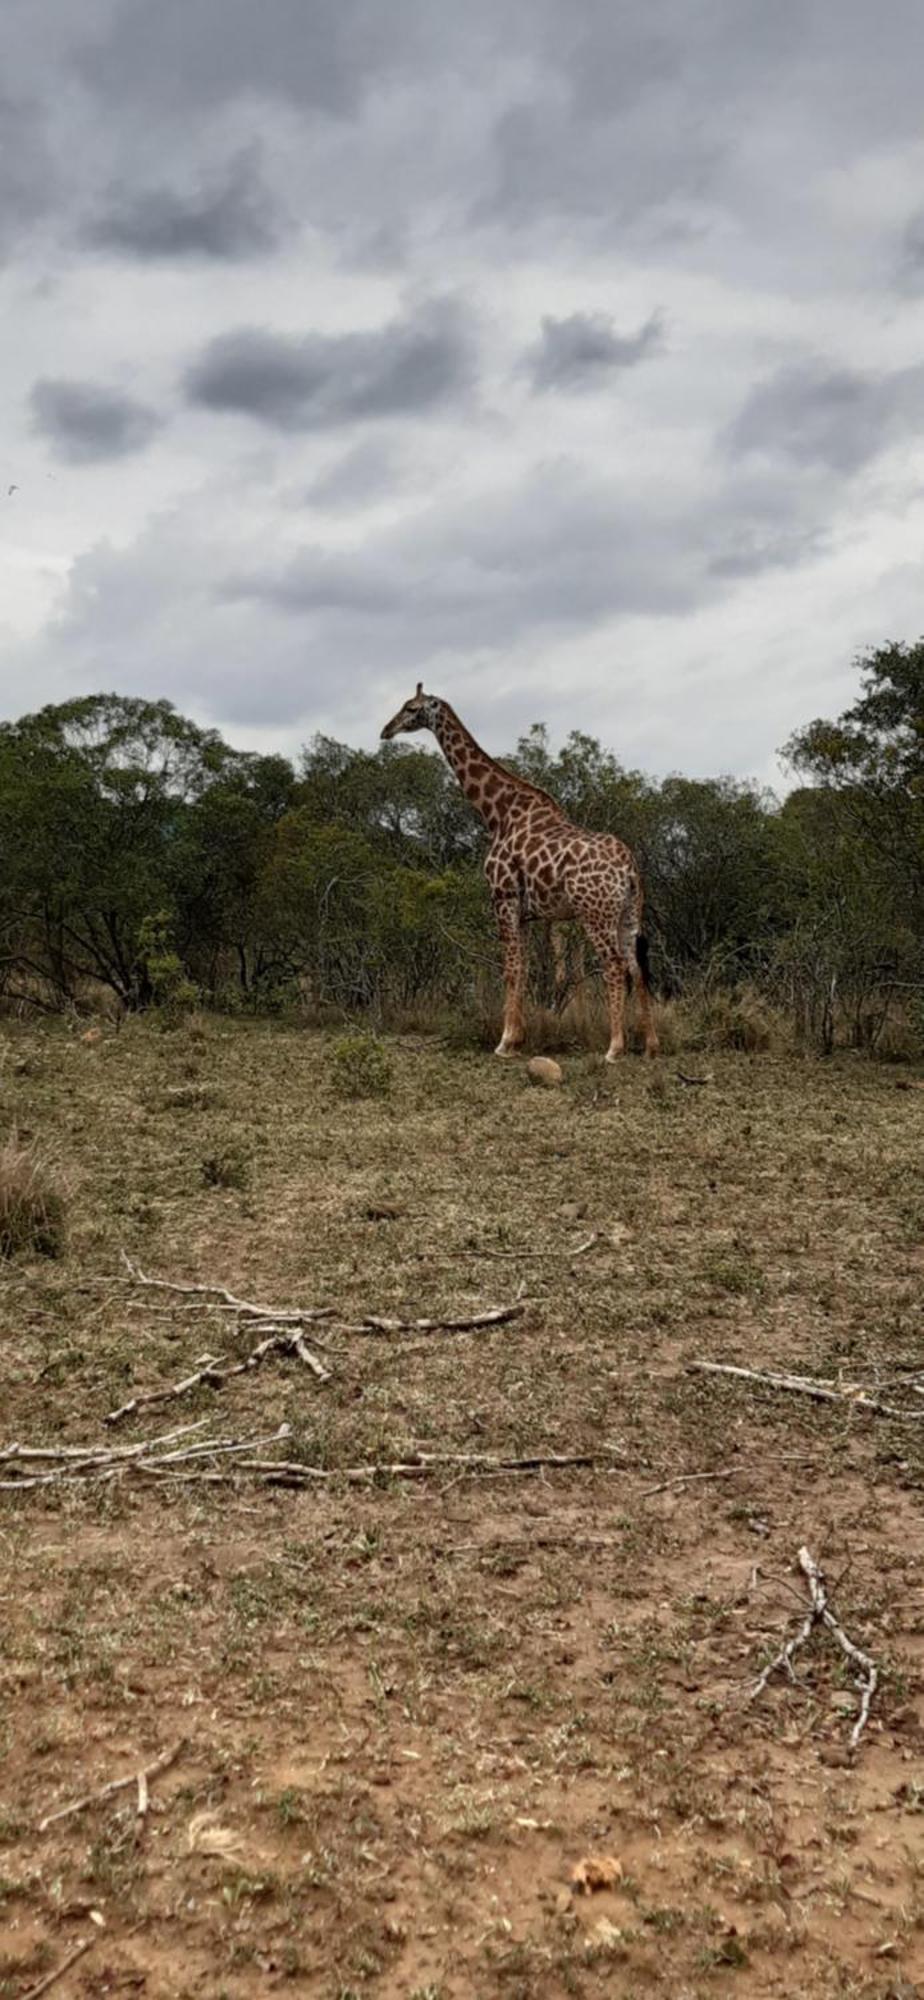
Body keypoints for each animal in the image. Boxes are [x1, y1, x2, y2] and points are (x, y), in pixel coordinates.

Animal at [380, 688, 656, 1064]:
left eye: (411, 708)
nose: (386, 730)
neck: (497, 813)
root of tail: (629, 868)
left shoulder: (503, 897)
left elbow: (510, 969)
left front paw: (505, 1042)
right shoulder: (526, 913)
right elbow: (523, 969)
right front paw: (518, 1039)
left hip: (595, 913)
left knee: (614, 966)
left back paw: (614, 1047)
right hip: (629, 913)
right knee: (637, 966)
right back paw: (651, 1045)